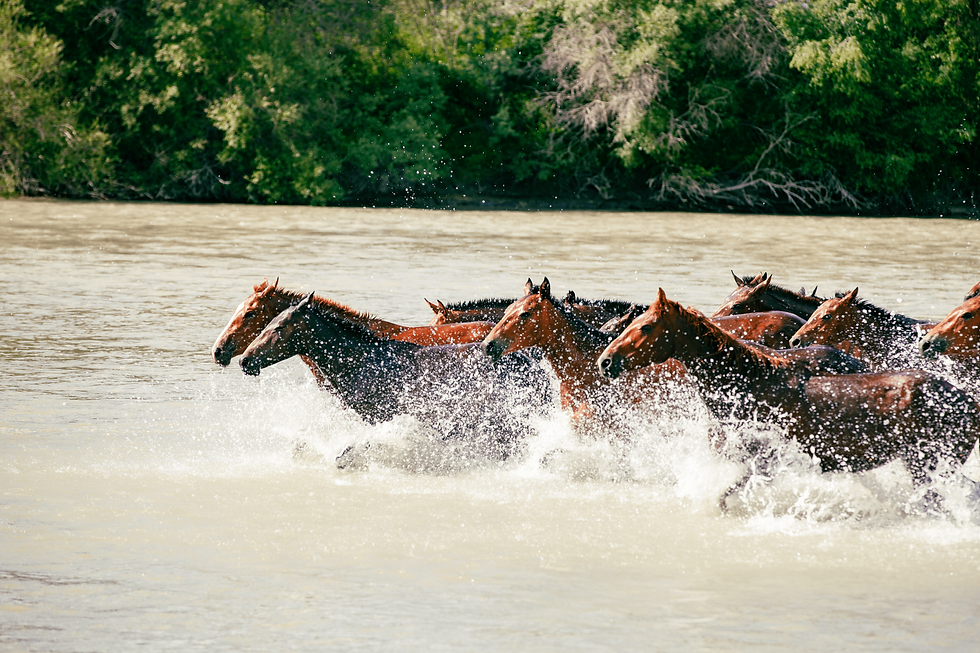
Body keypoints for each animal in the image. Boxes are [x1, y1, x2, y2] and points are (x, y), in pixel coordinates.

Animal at [239, 293, 552, 461]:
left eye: (279, 328)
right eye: (267, 323)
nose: (244, 360)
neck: (359, 360)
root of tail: (531, 363)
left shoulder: (383, 415)